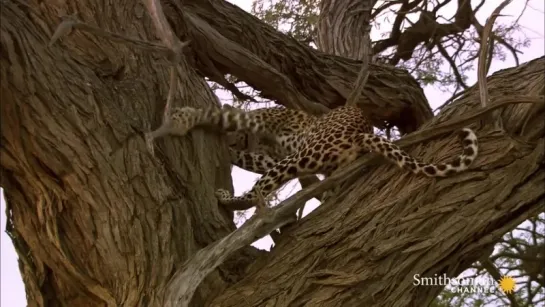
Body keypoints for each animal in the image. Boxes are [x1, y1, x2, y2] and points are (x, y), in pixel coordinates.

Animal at [147, 104, 478, 211]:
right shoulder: (274, 157)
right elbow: (249, 157)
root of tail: (362, 132)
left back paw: (226, 199)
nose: (230, 140)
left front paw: (181, 120)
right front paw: (231, 151)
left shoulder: (260, 126)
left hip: (303, 156)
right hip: (312, 161)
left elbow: (216, 114)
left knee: (256, 195)